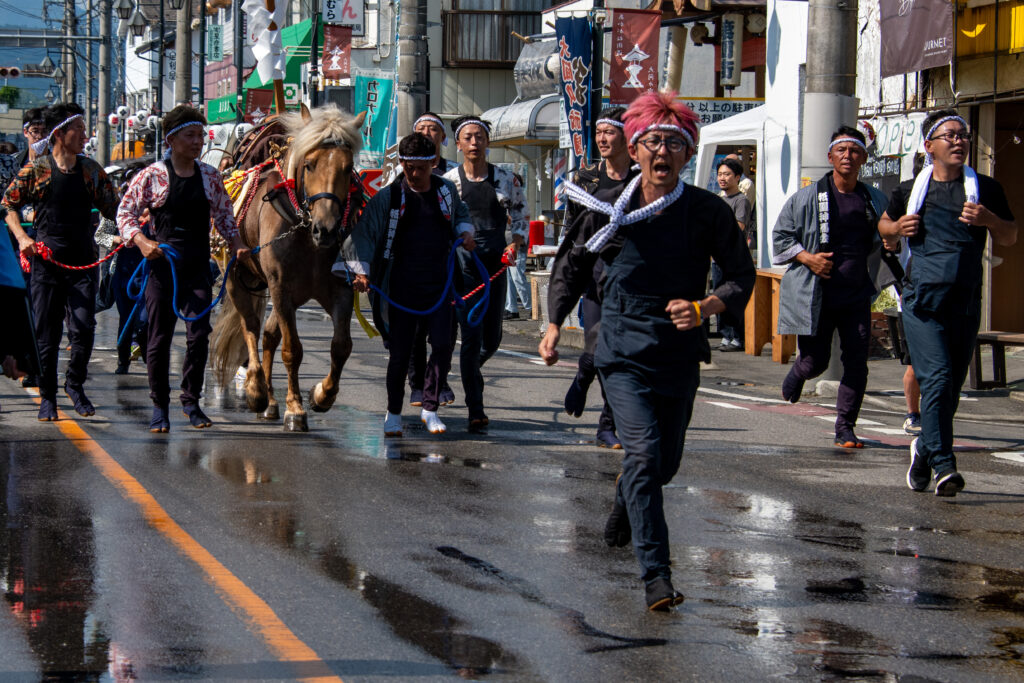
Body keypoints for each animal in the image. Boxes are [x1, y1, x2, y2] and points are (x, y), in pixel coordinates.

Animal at [212, 104, 366, 431]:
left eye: (348, 168)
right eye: (309, 165)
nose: (327, 229)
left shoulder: (340, 289)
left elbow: (341, 346)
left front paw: (321, 395)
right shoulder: (280, 286)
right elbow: (292, 349)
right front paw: (294, 408)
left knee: (269, 335)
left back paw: (270, 401)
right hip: (238, 276)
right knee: (251, 327)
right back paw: (257, 391)